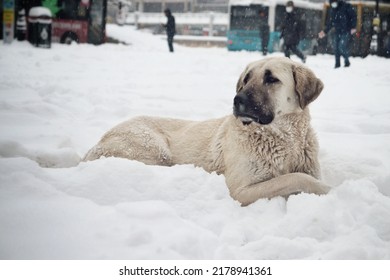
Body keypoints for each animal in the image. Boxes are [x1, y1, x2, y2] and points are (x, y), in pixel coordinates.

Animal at [84, 57, 330, 206]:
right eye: (246, 79)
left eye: (271, 79)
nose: (237, 100)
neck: (285, 140)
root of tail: (93, 147)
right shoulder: (241, 190)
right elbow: (296, 178)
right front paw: (328, 190)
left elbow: (298, 176)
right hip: (154, 149)